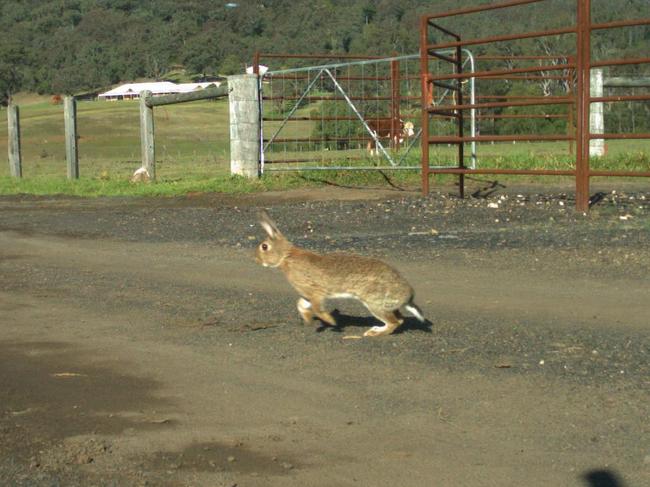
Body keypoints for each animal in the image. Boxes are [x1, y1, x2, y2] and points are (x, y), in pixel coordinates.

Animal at [253, 212, 426, 338]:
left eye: (264, 247)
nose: (256, 259)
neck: (286, 257)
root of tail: (408, 296)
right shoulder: (306, 294)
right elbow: (301, 305)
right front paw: (309, 321)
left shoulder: (315, 292)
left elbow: (317, 309)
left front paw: (331, 322)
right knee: (400, 320)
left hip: (374, 302)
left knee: (394, 322)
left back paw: (373, 333)